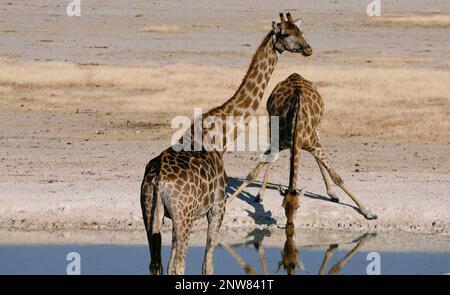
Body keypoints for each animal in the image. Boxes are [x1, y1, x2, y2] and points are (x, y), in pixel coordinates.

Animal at [141, 12, 312, 276]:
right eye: (285, 33)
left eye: (300, 31)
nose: (307, 48)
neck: (220, 136)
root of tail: (158, 180)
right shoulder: (217, 208)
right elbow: (207, 264)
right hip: (182, 216)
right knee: (178, 264)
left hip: (149, 213)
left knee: (156, 264)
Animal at [229, 73, 380, 227]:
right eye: (283, 205)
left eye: (298, 206)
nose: (290, 223)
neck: (296, 127)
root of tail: (295, 75)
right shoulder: (278, 143)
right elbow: (251, 175)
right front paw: (228, 203)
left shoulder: (314, 144)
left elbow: (337, 177)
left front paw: (368, 212)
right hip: (273, 123)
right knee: (272, 159)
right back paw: (260, 194)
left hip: (317, 126)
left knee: (317, 158)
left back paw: (332, 194)